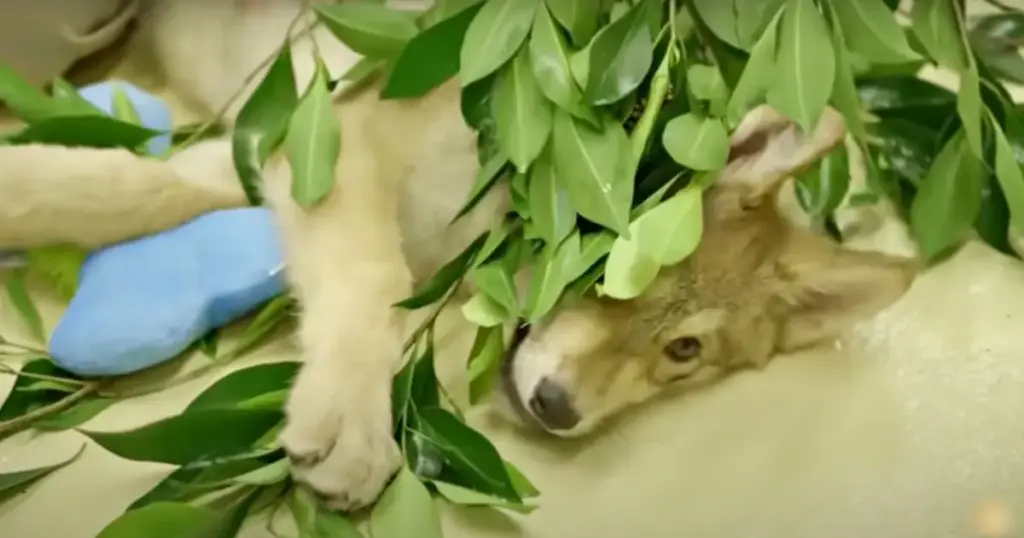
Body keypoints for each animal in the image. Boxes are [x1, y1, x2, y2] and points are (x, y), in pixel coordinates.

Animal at [0, 0, 914, 511]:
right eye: (616, 271)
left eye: (682, 353)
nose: (558, 410)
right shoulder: (329, 138)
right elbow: (374, 284)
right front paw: (353, 421)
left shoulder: (264, 147)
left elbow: (127, 189)